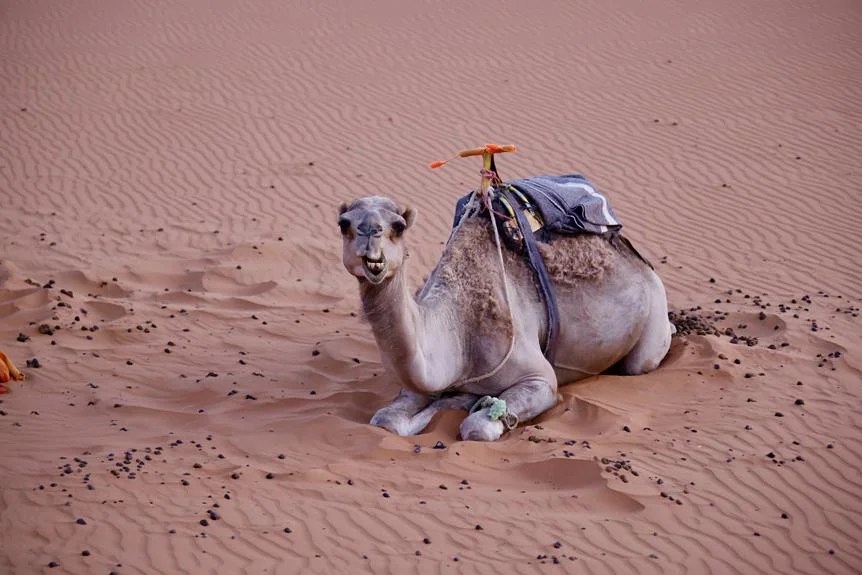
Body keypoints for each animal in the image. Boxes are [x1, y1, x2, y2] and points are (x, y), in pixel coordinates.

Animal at [338, 194, 673, 441]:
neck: (459, 335)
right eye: (344, 224)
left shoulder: (539, 378)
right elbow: (385, 419)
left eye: (398, 226)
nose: (370, 233)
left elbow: (477, 428)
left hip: (653, 313)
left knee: (642, 360)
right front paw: (456, 400)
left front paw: (465, 403)